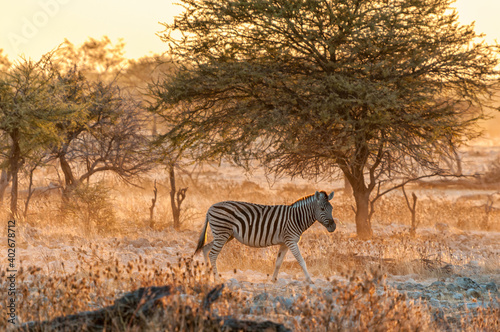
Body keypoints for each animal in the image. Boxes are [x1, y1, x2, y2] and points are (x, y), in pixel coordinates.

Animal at [194, 191, 336, 284]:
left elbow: (278, 262)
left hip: (226, 235)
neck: (297, 218)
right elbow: (301, 260)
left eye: (332, 208)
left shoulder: (284, 243)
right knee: (213, 254)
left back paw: (208, 276)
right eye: (322, 209)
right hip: (222, 233)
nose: (333, 227)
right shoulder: (291, 240)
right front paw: (309, 279)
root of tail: (210, 207)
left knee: (205, 249)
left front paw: (273, 280)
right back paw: (217, 279)